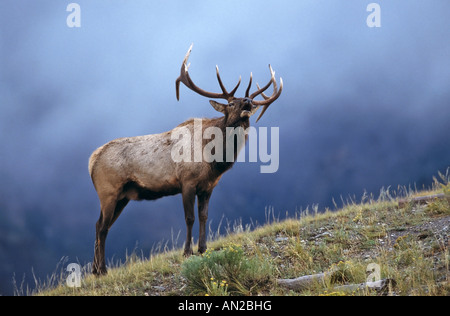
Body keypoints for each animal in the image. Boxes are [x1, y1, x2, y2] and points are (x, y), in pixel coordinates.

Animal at [89, 44, 284, 274]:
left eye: (250, 102)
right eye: (231, 103)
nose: (248, 102)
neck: (214, 161)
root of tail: (92, 160)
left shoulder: (208, 186)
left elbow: (204, 216)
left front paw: (203, 248)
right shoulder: (187, 181)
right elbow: (189, 218)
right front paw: (187, 251)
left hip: (122, 196)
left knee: (99, 224)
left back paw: (95, 270)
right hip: (109, 191)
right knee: (102, 227)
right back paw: (102, 270)